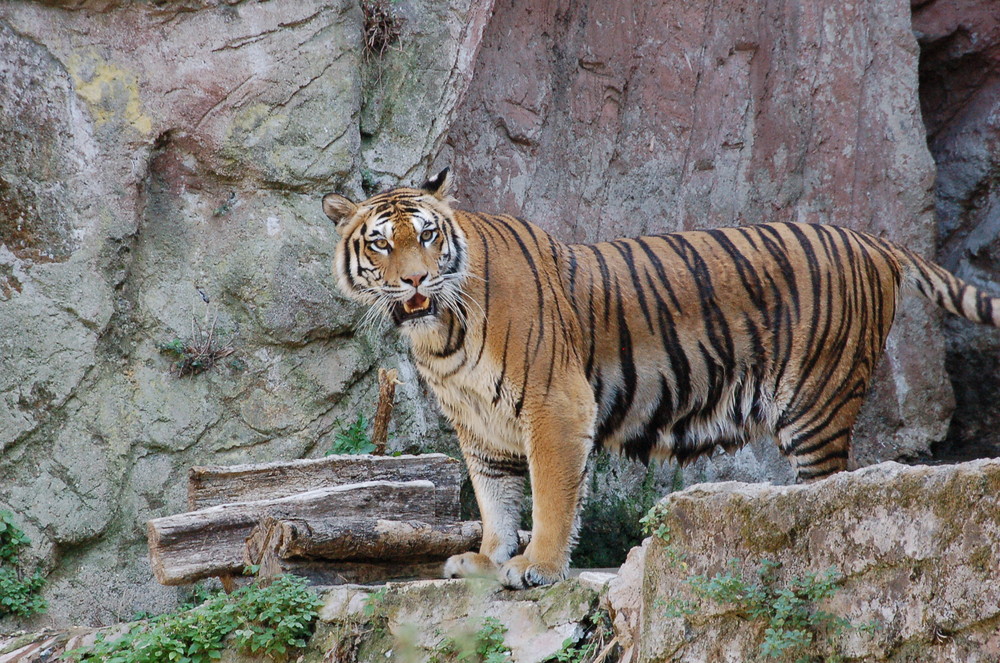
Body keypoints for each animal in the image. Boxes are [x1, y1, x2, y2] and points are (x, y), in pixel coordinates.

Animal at [320, 169, 1000, 588]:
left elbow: (549, 496)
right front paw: (488, 560)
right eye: (380, 244)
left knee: (833, 494)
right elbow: (496, 501)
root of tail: (871, 239)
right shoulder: (480, 428)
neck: (441, 333)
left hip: (818, 406)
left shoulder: (555, 404)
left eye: (427, 234)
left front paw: (538, 567)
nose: (415, 279)